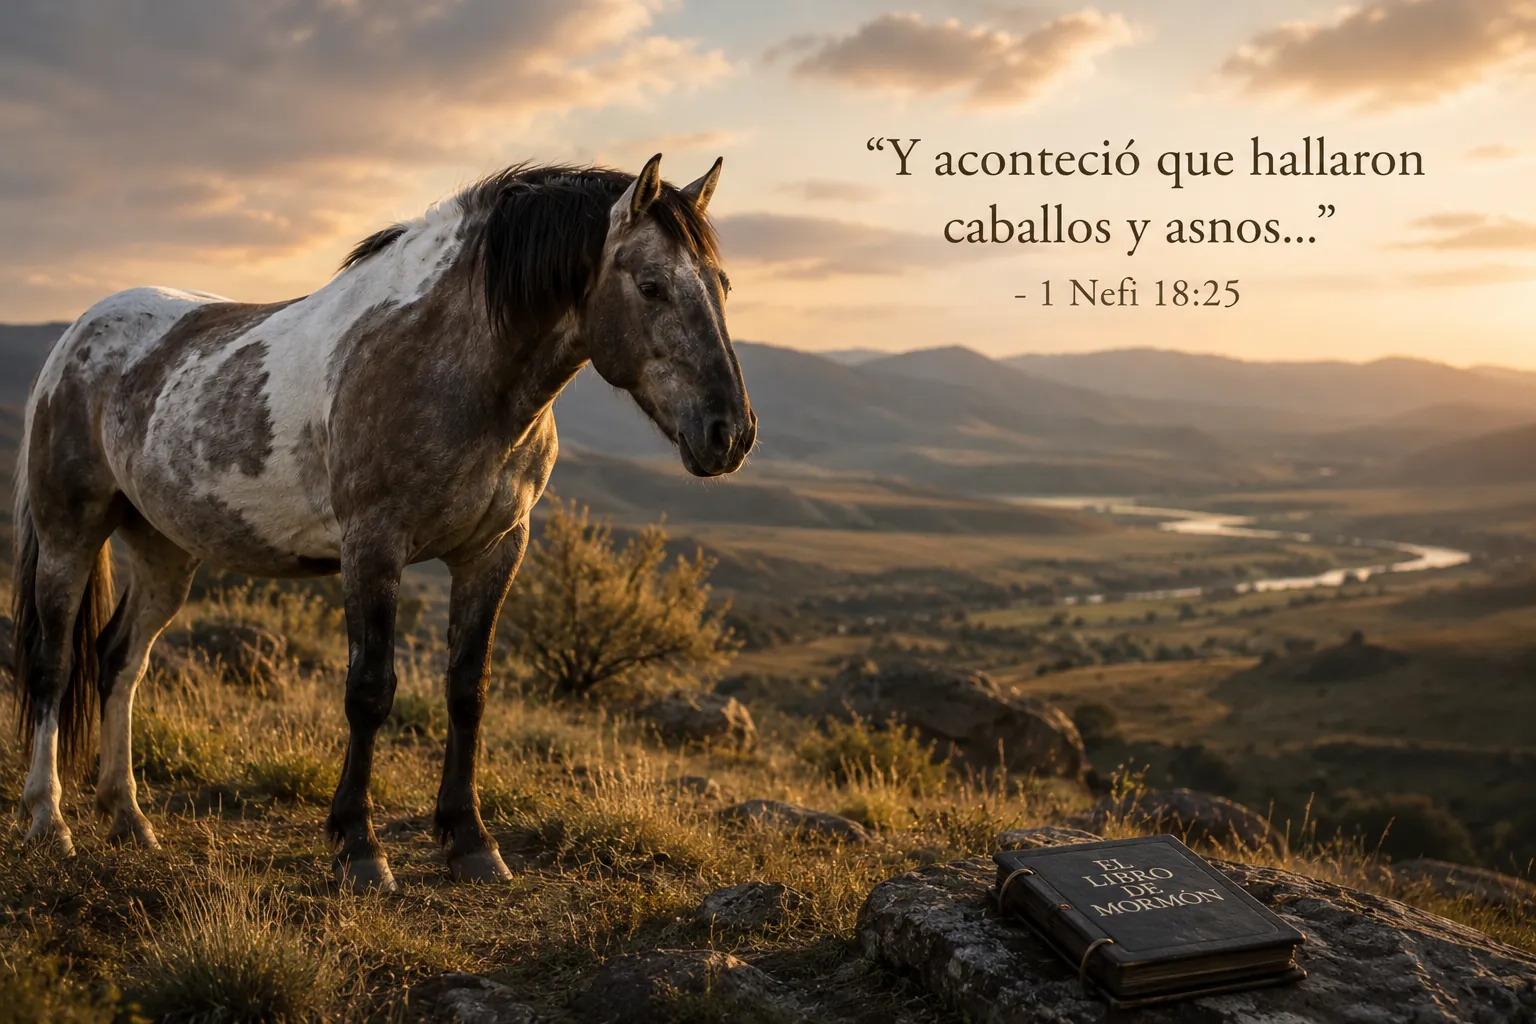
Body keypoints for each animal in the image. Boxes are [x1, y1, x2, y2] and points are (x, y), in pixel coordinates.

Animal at [12, 154, 754, 889]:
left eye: (722, 285)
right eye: (652, 287)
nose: (731, 433)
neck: (448, 366)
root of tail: (78, 333)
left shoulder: (495, 550)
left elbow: (468, 689)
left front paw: (470, 841)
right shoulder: (373, 545)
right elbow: (370, 690)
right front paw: (359, 848)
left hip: (165, 548)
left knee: (119, 660)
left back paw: (129, 818)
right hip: (69, 531)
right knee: (54, 662)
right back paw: (49, 820)